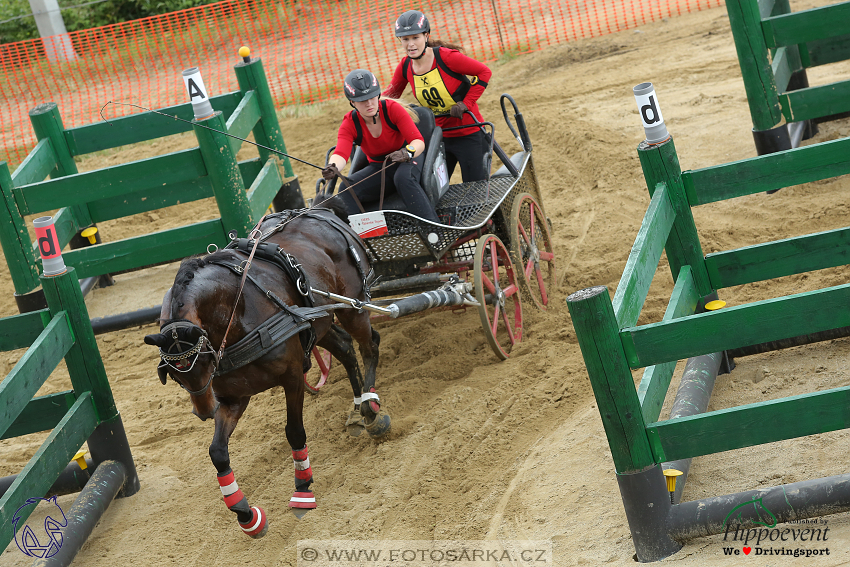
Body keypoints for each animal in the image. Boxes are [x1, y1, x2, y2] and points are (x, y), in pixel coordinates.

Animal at [143, 206, 388, 540]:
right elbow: (217, 452)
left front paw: (303, 490)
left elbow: (294, 432)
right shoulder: (233, 398)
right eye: (176, 376)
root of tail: (321, 212)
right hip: (319, 322)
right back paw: (359, 403)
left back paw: (370, 407)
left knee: (369, 345)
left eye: (203, 361)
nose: (204, 412)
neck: (238, 314)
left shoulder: (293, 378)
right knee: (345, 348)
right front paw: (245, 514)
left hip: (352, 306)